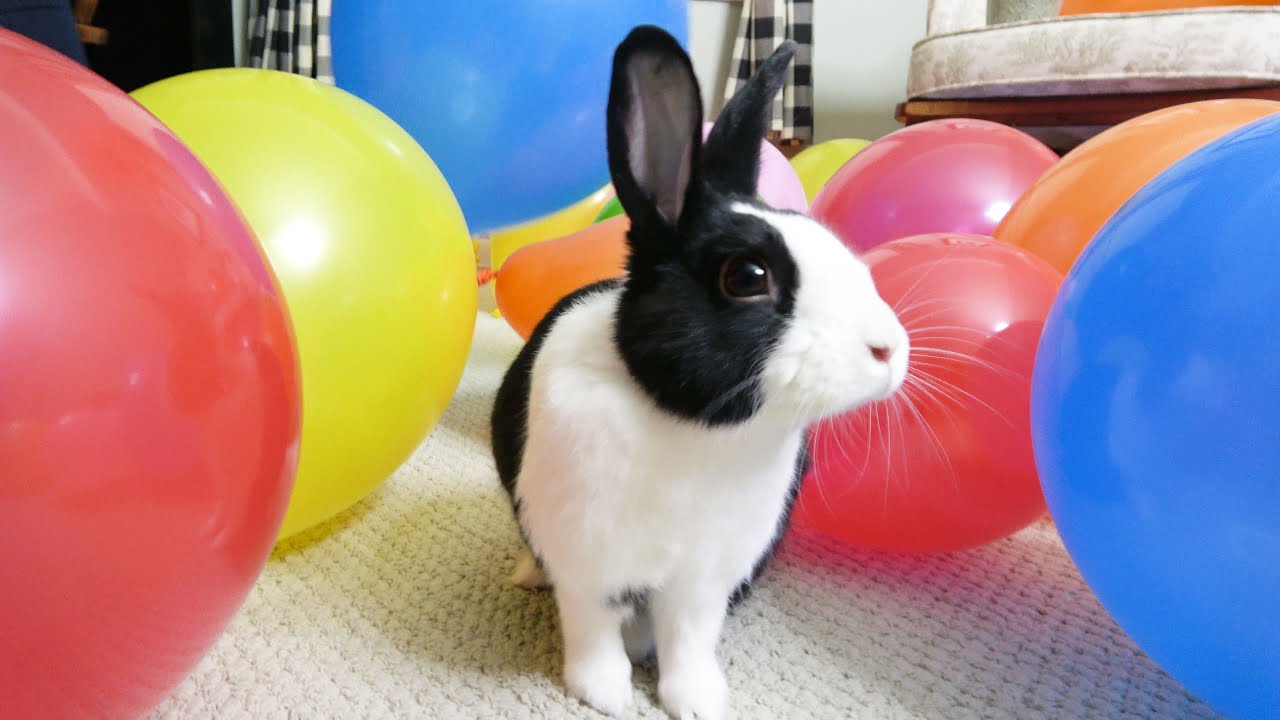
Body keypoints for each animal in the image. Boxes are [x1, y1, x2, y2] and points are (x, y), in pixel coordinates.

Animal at [490, 24, 909, 720]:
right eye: (747, 277)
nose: (890, 350)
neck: (696, 424)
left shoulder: (702, 582)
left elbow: (688, 640)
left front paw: (697, 701)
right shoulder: (587, 564)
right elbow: (592, 628)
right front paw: (605, 695)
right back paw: (526, 575)